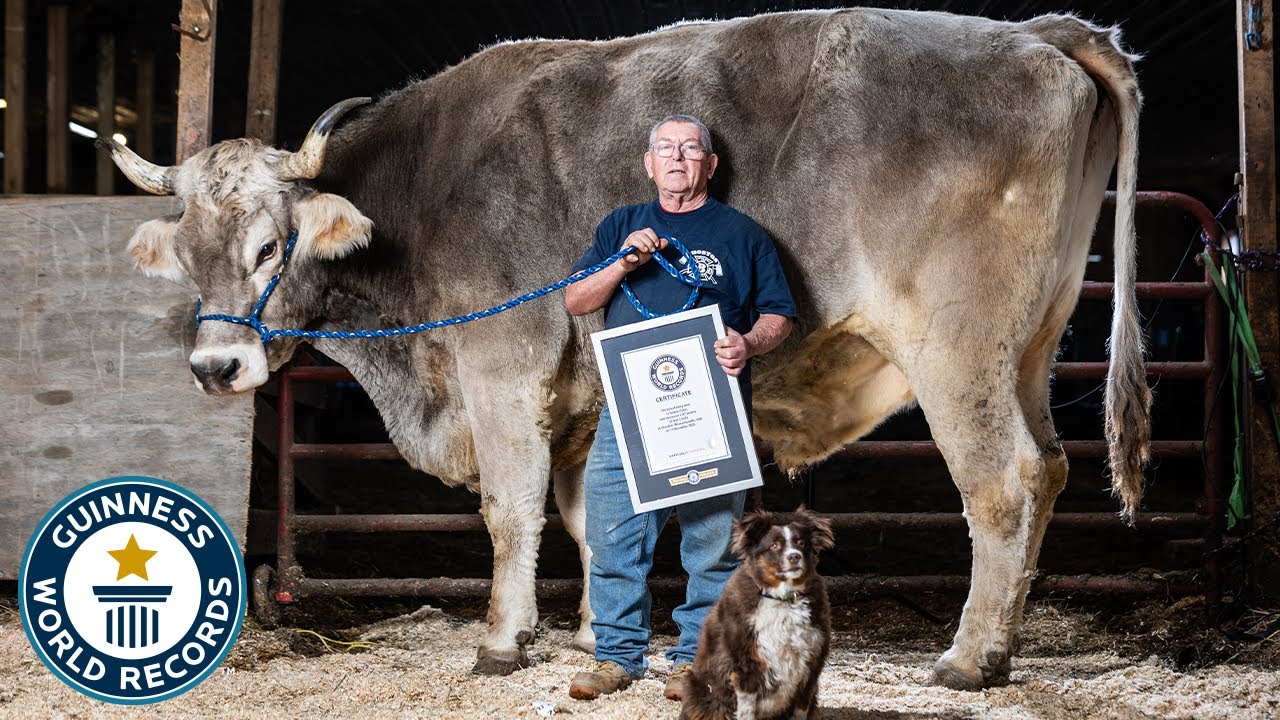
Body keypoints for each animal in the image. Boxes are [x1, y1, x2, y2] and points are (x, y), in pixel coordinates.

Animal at [680, 507, 839, 717]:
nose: (794, 556)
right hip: (701, 690)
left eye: (801, 543)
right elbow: (746, 710)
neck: (784, 599)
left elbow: (800, 710)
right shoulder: (746, 665)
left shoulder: (811, 666)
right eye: (774, 545)